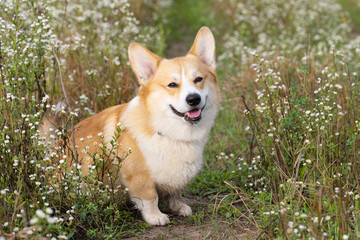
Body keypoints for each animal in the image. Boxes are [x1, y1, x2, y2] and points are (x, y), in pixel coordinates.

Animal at [40, 26, 219, 225]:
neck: (169, 130)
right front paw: (155, 217)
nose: (193, 99)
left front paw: (179, 206)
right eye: (172, 85)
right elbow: (150, 198)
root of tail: (52, 153)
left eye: (199, 79)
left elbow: (175, 192)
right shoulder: (139, 177)